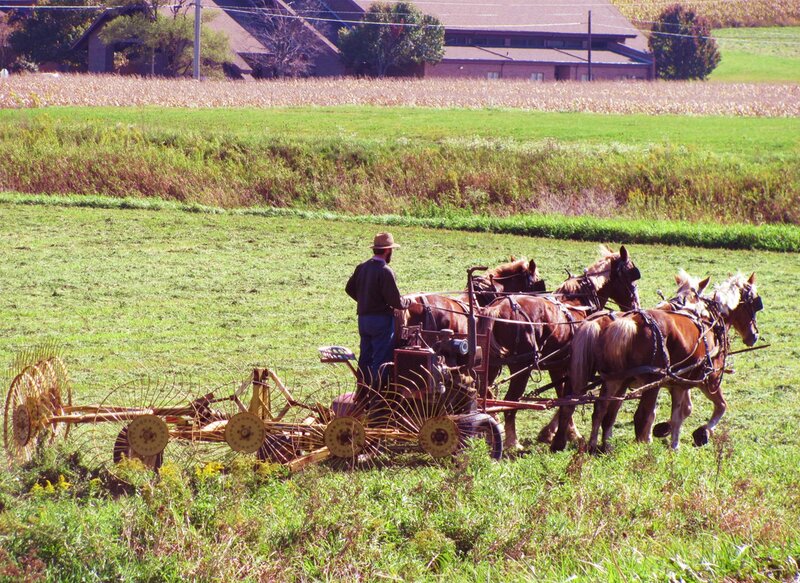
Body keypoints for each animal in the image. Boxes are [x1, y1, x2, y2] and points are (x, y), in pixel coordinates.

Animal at [482, 244, 642, 451]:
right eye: (631, 275)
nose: (635, 305)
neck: (580, 303)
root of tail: (496, 309)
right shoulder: (576, 367)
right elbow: (571, 397)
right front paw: (567, 434)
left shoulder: (558, 366)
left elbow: (562, 397)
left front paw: (556, 433)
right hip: (521, 368)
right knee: (510, 402)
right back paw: (513, 442)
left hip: (491, 364)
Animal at [562, 272, 761, 453]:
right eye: (754, 303)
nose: (754, 335)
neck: (708, 319)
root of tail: (626, 323)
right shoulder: (707, 378)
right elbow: (718, 406)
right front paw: (698, 434)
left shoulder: (678, 382)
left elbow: (682, 411)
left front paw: (668, 435)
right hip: (650, 382)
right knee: (640, 415)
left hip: (615, 379)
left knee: (602, 409)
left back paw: (596, 445)